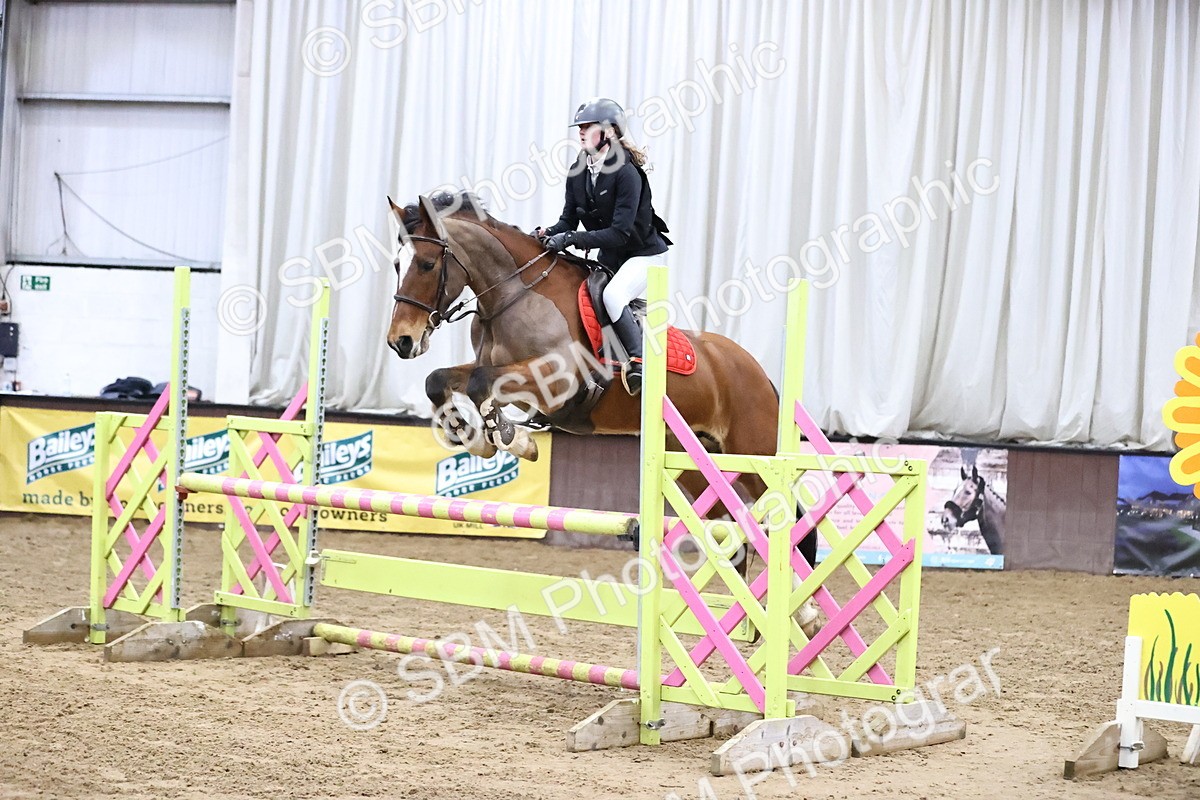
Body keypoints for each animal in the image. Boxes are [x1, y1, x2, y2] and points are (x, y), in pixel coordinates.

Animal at [384, 193, 820, 583]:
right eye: (397, 264)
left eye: (427, 264)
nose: (400, 341)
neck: (514, 294)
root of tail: (758, 371)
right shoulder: (493, 368)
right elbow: (441, 380)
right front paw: (476, 436)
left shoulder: (557, 382)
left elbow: (481, 385)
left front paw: (509, 437)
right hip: (691, 461)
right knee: (731, 529)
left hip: (754, 453)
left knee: (785, 516)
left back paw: (802, 613)